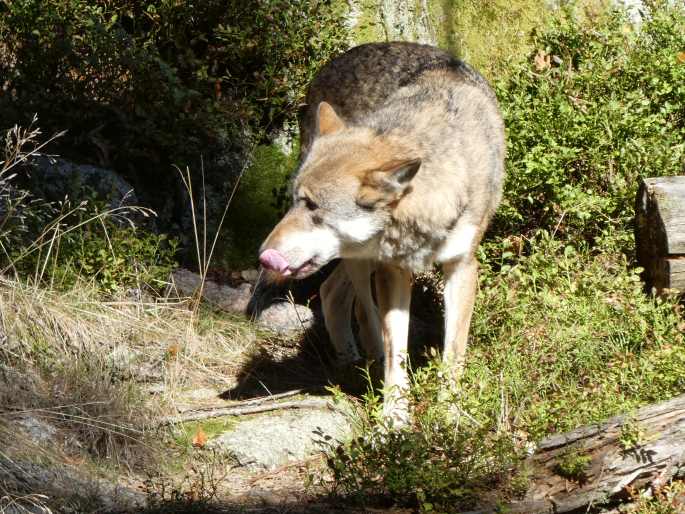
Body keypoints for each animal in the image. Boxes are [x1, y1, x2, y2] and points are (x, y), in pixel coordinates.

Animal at [256, 42, 502, 420]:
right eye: (296, 201)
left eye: (313, 208)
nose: (264, 256)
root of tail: (331, 64)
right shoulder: (393, 270)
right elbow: (396, 349)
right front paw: (395, 419)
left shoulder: (462, 266)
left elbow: (453, 354)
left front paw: (449, 415)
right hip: (361, 259)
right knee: (351, 304)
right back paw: (363, 363)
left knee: (334, 293)